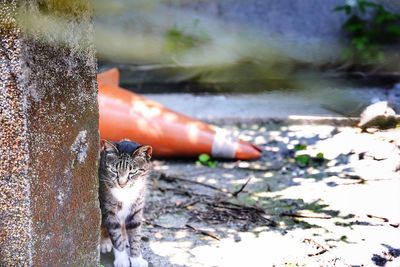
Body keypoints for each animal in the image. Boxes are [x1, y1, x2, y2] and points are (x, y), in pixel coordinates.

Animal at [98, 139, 152, 267]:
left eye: (132, 172)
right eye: (114, 171)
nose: (121, 184)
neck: (125, 192)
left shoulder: (136, 210)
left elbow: (135, 236)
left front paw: (136, 259)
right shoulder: (110, 211)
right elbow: (116, 236)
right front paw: (122, 260)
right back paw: (105, 242)